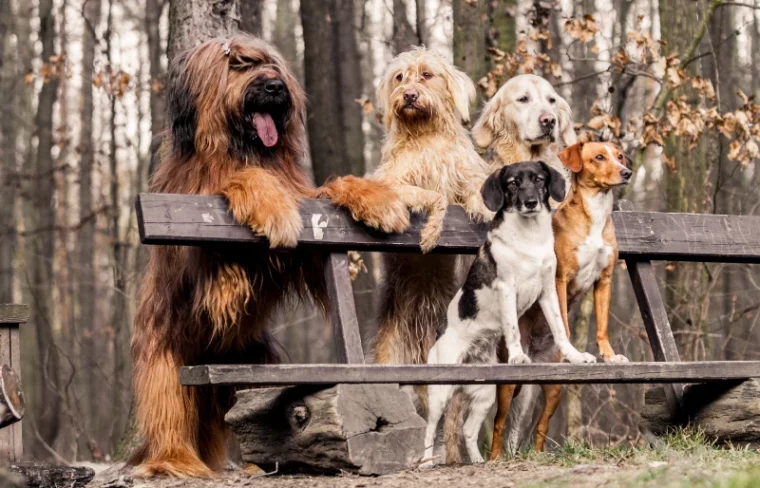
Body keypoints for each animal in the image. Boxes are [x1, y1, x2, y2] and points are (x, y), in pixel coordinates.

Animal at [132, 36, 416, 478]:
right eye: (235, 64)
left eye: (271, 65)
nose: (273, 86)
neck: (244, 150)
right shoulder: (198, 254)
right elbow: (244, 182)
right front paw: (271, 205)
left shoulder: (307, 240)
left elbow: (321, 199)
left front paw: (375, 198)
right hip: (165, 358)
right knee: (167, 409)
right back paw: (174, 459)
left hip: (258, 364)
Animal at [422, 162, 592, 468]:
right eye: (512, 183)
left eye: (539, 179)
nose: (530, 202)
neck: (529, 239)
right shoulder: (507, 289)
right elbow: (512, 329)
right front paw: (517, 356)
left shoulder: (548, 292)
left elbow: (560, 330)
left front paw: (575, 356)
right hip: (440, 393)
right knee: (429, 429)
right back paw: (426, 462)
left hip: (485, 395)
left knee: (468, 429)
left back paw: (479, 461)